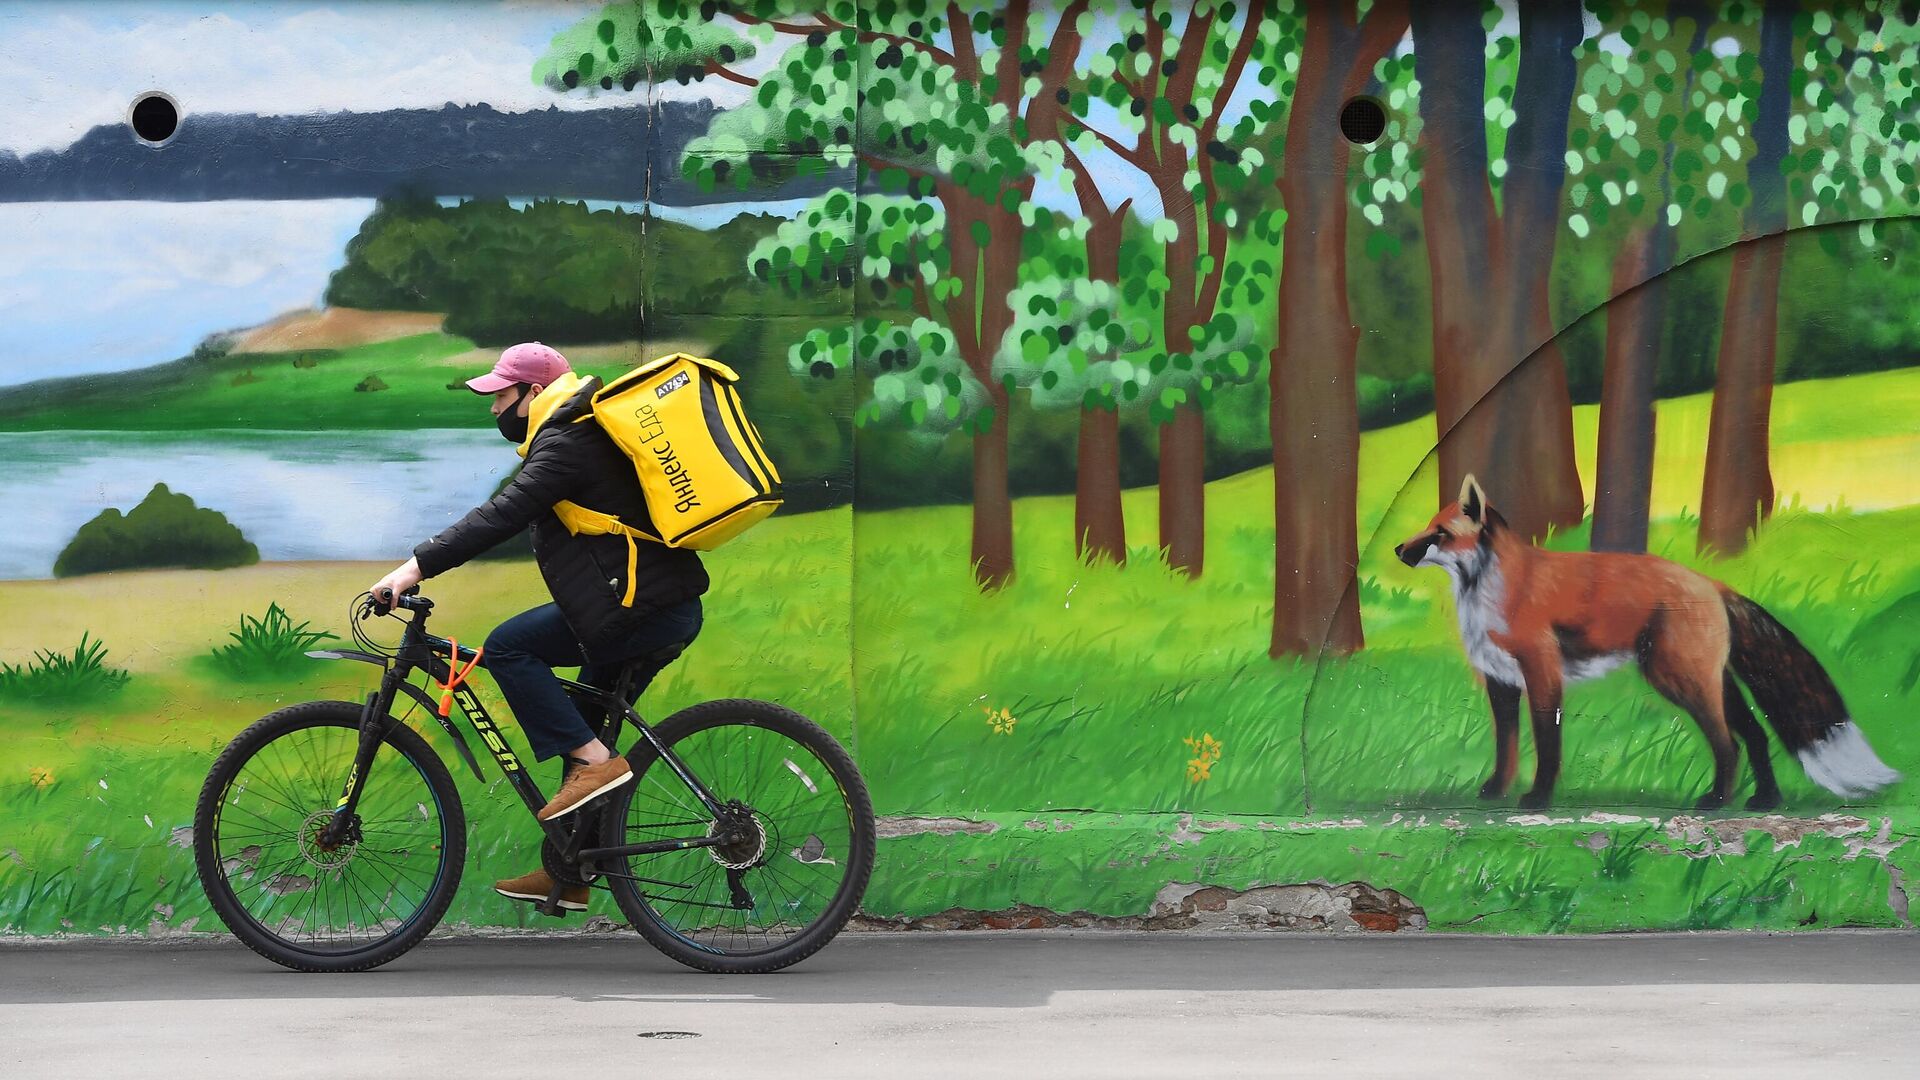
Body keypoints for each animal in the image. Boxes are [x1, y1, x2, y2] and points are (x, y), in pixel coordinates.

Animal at [1390, 472, 1896, 807]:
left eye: (1439, 534)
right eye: (1427, 527)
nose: (1397, 549)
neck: (1492, 591)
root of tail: (1713, 584)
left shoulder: (1542, 673)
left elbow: (1548, 746)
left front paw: (1537, 798)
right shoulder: (1500, 682)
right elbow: (1506, 749)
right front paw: (1496, 791)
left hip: (1678, 679)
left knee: (1728, 742)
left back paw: (1717, 800)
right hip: (1709, 681)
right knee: (1754, 733)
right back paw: (1764, 801)